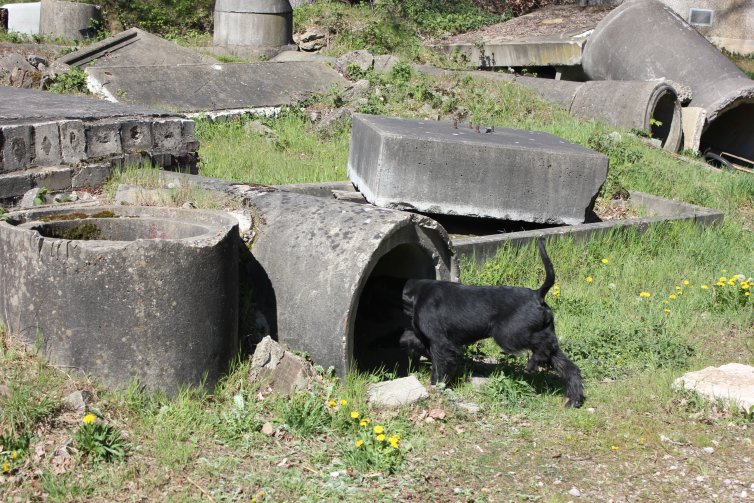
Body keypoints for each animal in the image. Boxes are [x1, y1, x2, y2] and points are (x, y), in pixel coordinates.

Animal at [394, 238, 580, 408]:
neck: (416, 293)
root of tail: (537, 294)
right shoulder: (425, 339)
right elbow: (410, 339)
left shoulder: (440, 342)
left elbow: (439, 365)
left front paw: (436, 385)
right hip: (541, 334)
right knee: (567, 365)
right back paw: (574, 399)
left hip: (509, 335)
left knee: (544, 348)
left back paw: (533, 364)